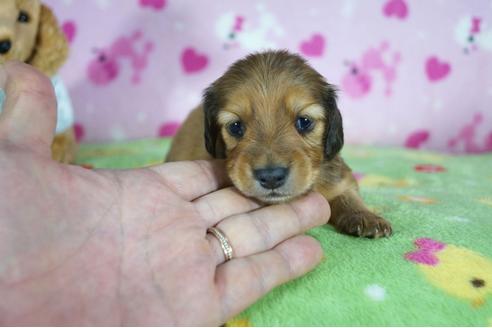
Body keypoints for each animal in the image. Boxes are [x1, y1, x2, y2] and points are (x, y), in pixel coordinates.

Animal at [168, 50, 392, 237]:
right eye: (235, 126)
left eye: (304, 121)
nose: (271, 177)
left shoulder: (339, 178)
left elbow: (347, 194)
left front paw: (365, 216)